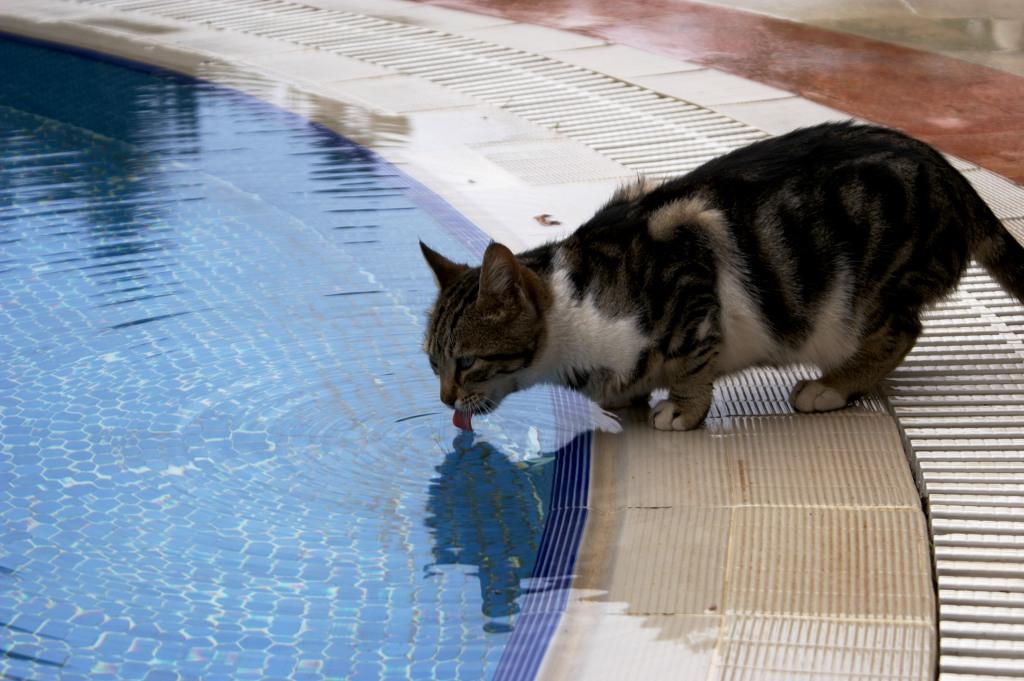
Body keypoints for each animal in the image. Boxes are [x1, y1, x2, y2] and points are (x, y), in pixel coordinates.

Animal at [417, 122, 1024, 430]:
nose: (445, 400)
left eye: (465, 362)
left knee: (901, 332)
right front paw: (630, 396)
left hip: (867, 293)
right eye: (432, 363)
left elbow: (690, 362)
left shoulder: (689, 265)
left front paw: (682, 409)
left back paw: (833, 385)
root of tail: (951, 174)